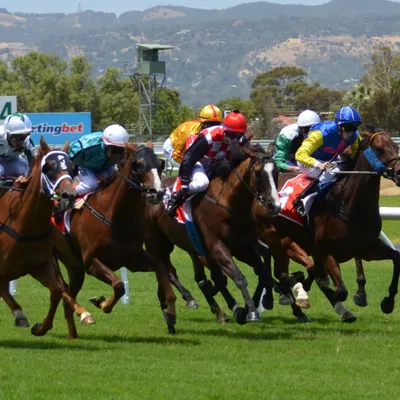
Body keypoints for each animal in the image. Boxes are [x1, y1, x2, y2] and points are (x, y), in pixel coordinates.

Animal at [0, 138, 94, 338]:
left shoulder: (39, 265)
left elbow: (57, 291)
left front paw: (41, 327)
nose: (68, 195)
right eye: (48, 167)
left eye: (72, 167)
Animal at [53, 143, 178, 334]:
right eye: (138, 164)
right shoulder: (91, 262)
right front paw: (101, 303)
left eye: (160, 163)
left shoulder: (133, 258)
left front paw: (170, 311)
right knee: (61, 289)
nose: (157, 192)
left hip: (75, 267)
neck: (114, 215)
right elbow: (119, 285)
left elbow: (161, 268)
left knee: (68, 296)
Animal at [144, 144, 282, 324]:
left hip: (187, 247)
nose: (275, 206)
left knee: (197, 276)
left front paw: (256, 304)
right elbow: (238, 277)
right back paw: (188, 300)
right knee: (167, 271)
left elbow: (262, 273)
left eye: (276, 172)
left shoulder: (243, 247)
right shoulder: (216, 246)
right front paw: (251, 311)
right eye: (258, 173)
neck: (228, 204)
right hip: (157, 244)